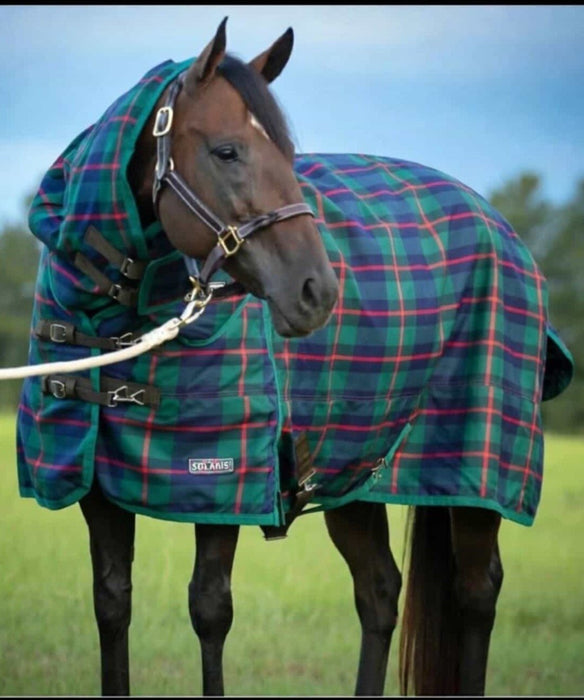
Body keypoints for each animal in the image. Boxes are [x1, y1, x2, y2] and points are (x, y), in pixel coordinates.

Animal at [12, 17, 573, 697]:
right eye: (227, 151)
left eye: (285, 152)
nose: (318, 292)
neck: (118, 318)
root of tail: (499, 224)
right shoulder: (97, 492)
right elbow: (112, 604)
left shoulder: (223, 483)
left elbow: (209, 611)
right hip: (356, 470)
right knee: (379, 592)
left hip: (474, 475)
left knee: (475, 592)